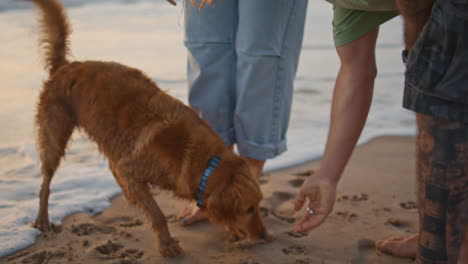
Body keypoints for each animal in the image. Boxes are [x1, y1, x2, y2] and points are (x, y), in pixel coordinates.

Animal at [30, 0, 270, 258]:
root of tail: (65, 67)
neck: (203, 161)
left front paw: (230, 229)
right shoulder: (130, 168)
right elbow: (157, 213)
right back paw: (42, 219)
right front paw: (167, 244)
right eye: (248, 209)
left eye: (259, 205)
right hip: (54, 136)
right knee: (46, 182)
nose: (265, 236)